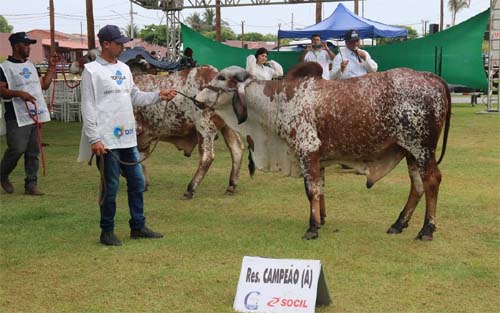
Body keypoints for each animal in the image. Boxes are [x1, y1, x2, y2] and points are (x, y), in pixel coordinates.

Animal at [133, 66, 242, 197]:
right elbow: (141, 160)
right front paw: (144, 184)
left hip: (204, 126)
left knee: (207, 156)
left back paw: (191, 188)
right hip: (228, 127)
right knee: (237, 149)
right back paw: (231, 185)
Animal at [196, 62, 454, 239]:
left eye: (221, 77)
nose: (197, 98)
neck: (278, 100)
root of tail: (429, 76)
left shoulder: (307, 149)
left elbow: (311, 190)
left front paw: (312, 228)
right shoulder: (317, 158)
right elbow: (319, 189)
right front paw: (320, 220)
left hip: (422, 149)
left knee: (432, 181)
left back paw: (427, 230)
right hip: (410, 152)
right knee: (417, 186)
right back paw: (399, 223)